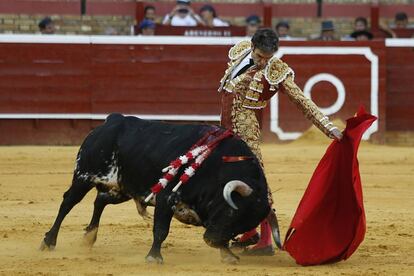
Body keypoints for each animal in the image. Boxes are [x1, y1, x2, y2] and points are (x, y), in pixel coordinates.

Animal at [40, 112, 282, 264]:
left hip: (124, 188)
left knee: (100, 200)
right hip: (84, 175)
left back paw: (89, 238)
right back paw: (48, 242)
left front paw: (228, 255)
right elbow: (161, 230)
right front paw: (154, 257)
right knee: (68, 203)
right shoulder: (167, 198)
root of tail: (112, 121)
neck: (217, 167)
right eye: (232, 212)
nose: (210, 241)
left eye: (245, 224)